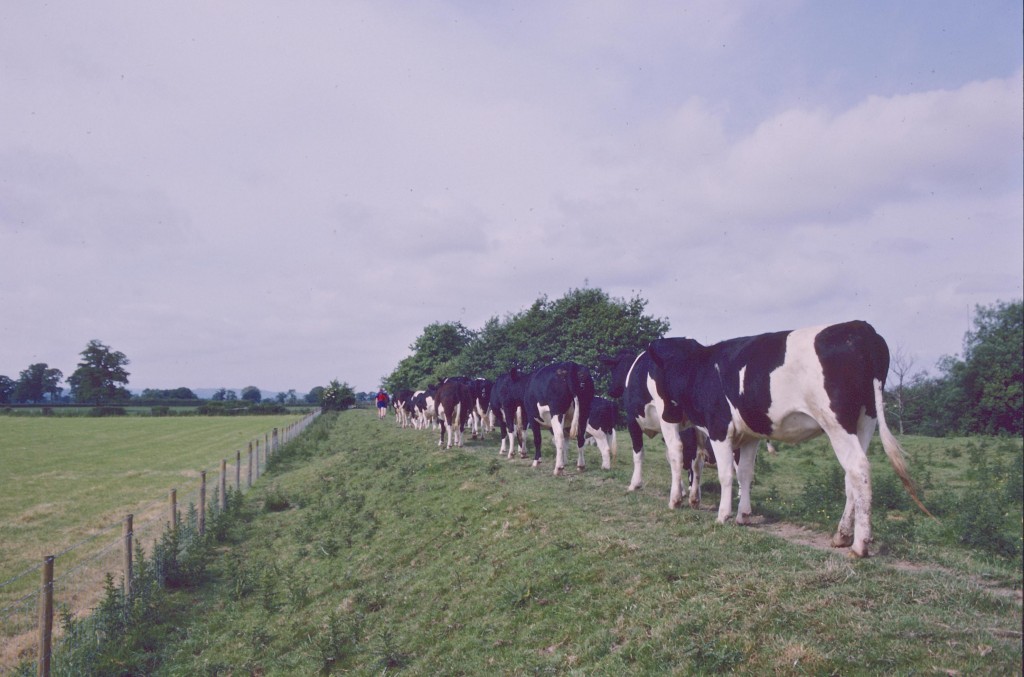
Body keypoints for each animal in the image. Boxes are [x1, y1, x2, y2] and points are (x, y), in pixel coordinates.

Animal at [599, 349, 711, 508]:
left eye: (613, 369)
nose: (610, 391)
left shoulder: (632, 420)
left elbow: (638, 452)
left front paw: (635, 484)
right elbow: (670, 458)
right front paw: (682, 490)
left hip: (668, 416)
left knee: (677, 448)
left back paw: (675, 500)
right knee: (698, 457)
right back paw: (695, 498)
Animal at [645, 320, 929, 558]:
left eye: (658, 375)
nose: (666, 414)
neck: (701, 369)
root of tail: (862, 328)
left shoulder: (719, 427)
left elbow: (726, 474)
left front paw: (723, 516)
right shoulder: (750, 435)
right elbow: (745, 473)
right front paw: (743, 515)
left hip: (837, 423)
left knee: (859, 470)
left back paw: (859, 545)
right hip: (865, 422)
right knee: (852, 477)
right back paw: (842, 535)